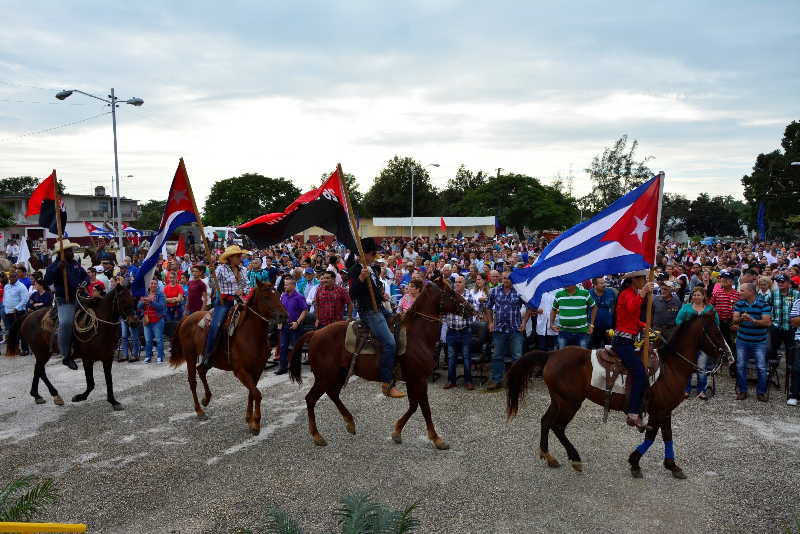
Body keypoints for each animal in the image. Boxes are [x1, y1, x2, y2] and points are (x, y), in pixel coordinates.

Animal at [3, 286, 138, 412]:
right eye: (123, 300)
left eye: (133, 299)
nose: (134, 322)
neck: (101, 328)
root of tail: (28, 315)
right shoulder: (88, 359)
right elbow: (91, 383)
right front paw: (80, 397)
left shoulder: (107, 358)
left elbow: (109, 380)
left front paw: (113, 401)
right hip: (41, 352)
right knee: (40, 370)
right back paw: (52, 394)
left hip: (43, 353)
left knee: (38, 370)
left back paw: (38, 395)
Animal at [170, 282, 290, 438]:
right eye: (266, 296)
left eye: (278, 294)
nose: (284, 316)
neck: (250, 335)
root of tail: (187, 318)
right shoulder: (240, 371)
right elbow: (257, 394)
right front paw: (256, 424)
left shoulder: (257, 370)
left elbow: (252, 393)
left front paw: (249, 419)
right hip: (190, 356)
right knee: (192, 381)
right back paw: (200, 410)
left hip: (210, 359)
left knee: (201, 370)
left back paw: (206, 399)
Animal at [290, 280, 472, 452]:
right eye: (451, 293)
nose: (470, 309)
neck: (417, 335)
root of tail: (315, 333)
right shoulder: (419, 379)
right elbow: (425, 409)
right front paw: (436, 439)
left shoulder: (413, 380)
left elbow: (413, 406)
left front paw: (397, 432)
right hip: (325, 376)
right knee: (311, 399)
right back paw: (317, 435)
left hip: (337, 374)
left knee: (333, 394)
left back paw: (350, 423)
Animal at [506, 314, 732, 478]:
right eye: (716, 332)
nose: (730, 357)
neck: (671, 368)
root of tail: (552, 354)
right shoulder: (659, 410)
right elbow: (652, 437)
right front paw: (635, 462)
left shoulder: (664, 411)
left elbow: (667, 436)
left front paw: (671, 465)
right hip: (570, 402)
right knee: (558, 426)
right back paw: (575, 458)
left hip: (558, 400)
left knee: (545, 421)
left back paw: (548, 456)